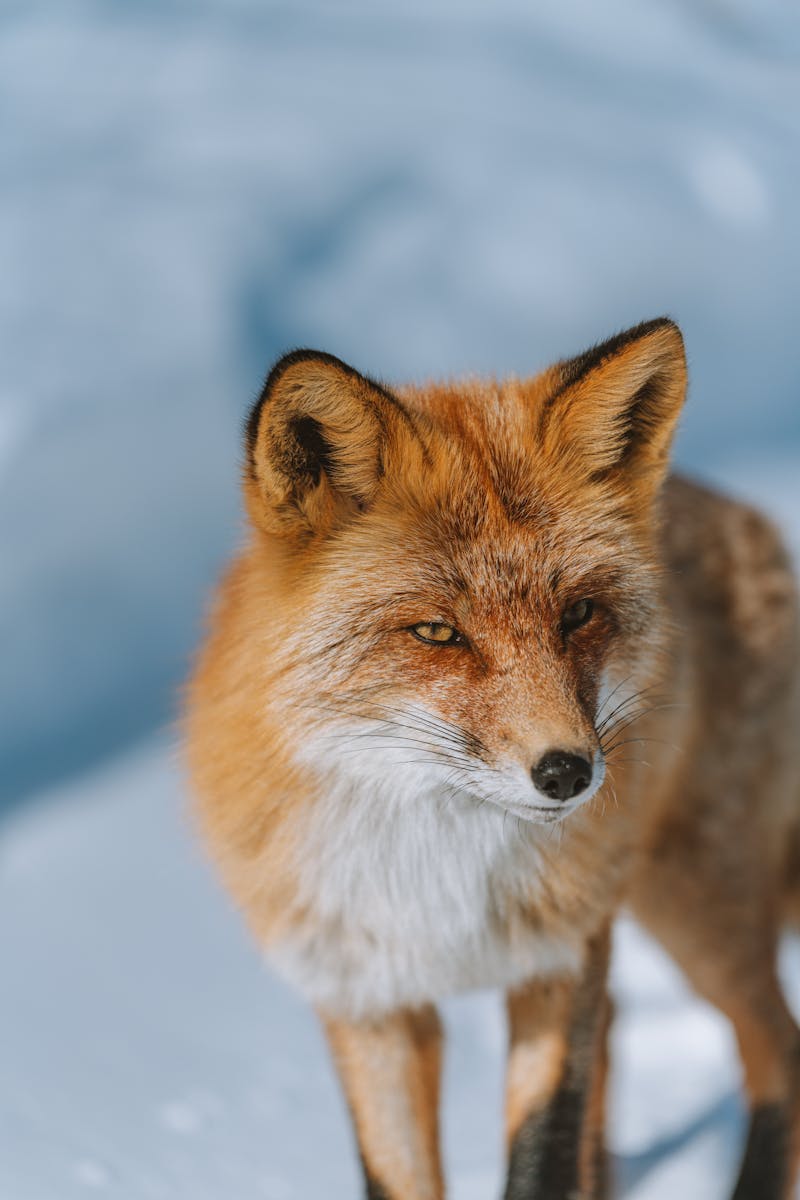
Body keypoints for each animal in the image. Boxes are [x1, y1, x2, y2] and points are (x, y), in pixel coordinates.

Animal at [185, 318, 800, 1199]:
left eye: (578, 614)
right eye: (438, 632)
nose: (568, 772)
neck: (435, 865)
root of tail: (734, 507)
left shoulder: (557, 957)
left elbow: (543, 1153)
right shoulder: (365, 997)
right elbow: (399, 1176)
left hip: (695, 903)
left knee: (777, 1046)